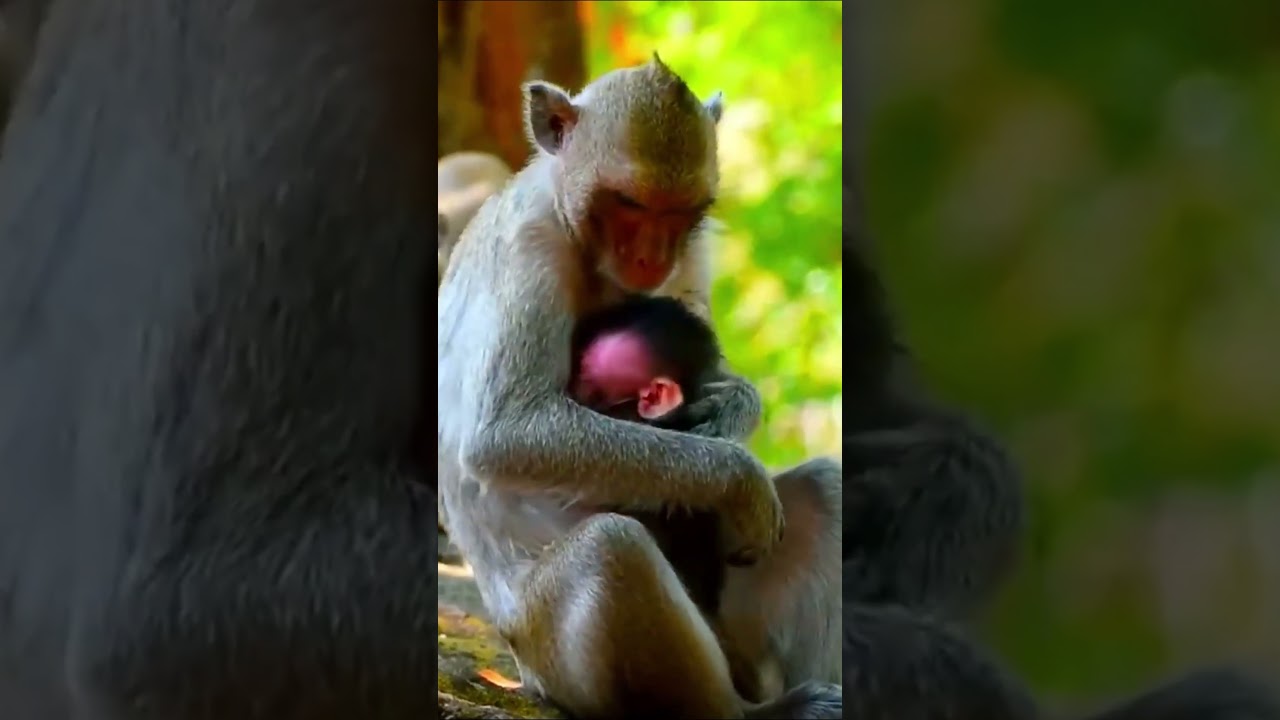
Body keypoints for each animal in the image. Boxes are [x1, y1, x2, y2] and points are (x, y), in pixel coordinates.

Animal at [437, 56, 842, 719]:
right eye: (628, 202)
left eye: (680, 212)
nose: (653, 258)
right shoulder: (530, 251)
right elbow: (506, 435)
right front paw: (735, 477)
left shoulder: (693, 251)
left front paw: (732, 408)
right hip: (549, 655)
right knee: (612, 548)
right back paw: (746, 712)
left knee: (824, 491)